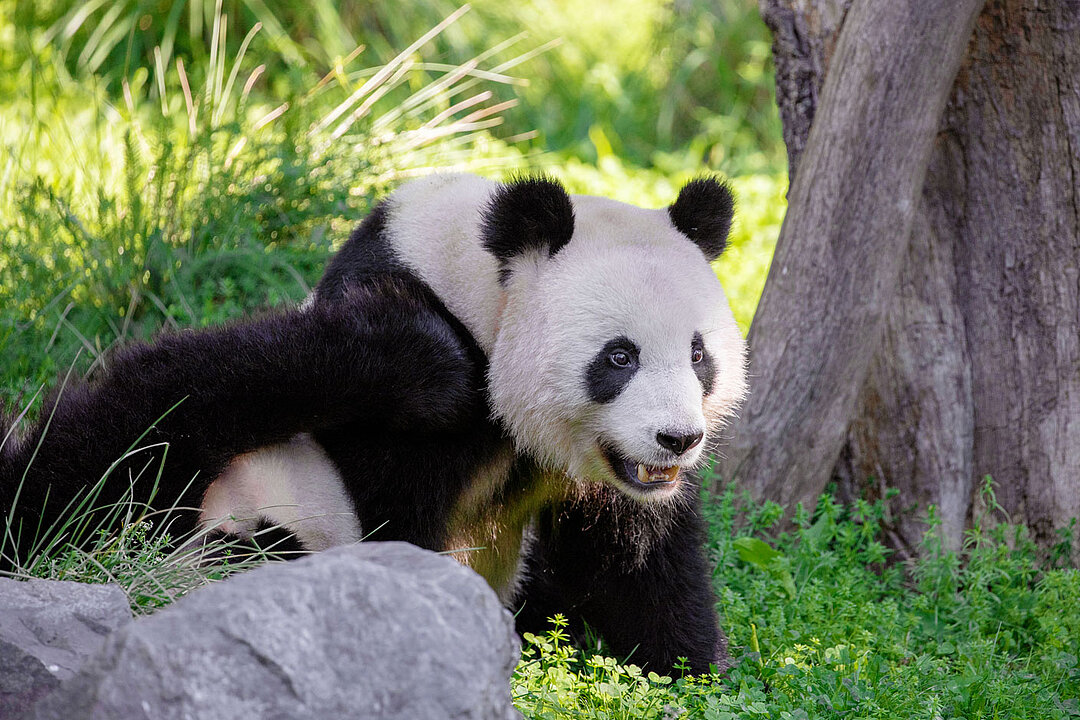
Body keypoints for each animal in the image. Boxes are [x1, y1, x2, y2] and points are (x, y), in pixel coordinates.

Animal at [1, 173, 747, 674]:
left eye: (698, 354)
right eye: (619, 356)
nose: (678, 439)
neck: (482, 295)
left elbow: (640, 558)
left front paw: (689, 671)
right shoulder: (406, 424)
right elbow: (400, 521)